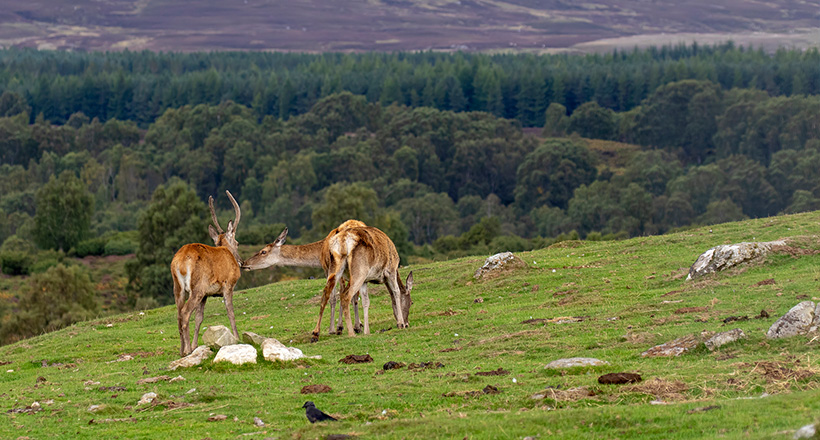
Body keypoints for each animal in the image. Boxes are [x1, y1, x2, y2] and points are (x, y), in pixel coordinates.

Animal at [169, 191, 240, 356]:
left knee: (179, 314)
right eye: (238, 243)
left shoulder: (206, 295)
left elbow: (199, 318)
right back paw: (187, 350)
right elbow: (230, 312)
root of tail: (181, 262)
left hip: (178, 288)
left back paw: (182, 350)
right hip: (197, 287)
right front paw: (237, 338)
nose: (241, 262)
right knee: (185, 313)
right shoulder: (228, 285)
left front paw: (196, 345)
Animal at [240, 218, 368, 336]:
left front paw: (335, 328)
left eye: (263, 251)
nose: (244, 263)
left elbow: (334, 297)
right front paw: (355, 325)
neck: (318, 255)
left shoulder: (328, 269)